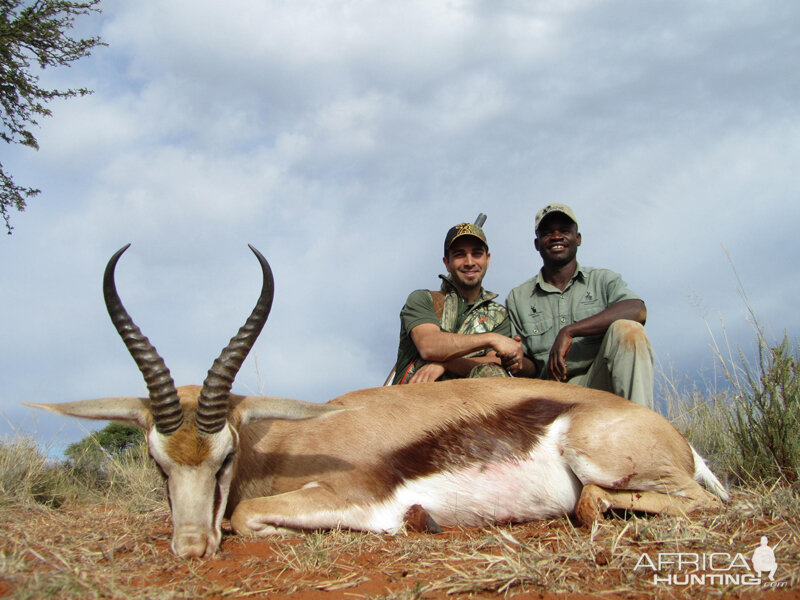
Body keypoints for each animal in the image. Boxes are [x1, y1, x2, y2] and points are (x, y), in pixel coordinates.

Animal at [25, 244, 728, 556]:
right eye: (157, 462)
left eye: (223, 457)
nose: (192, 548)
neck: (286, 443)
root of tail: (675, 438)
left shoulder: (349, 494)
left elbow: (246, 516)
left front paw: (411, 521)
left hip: (607, 463)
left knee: (675, 502)